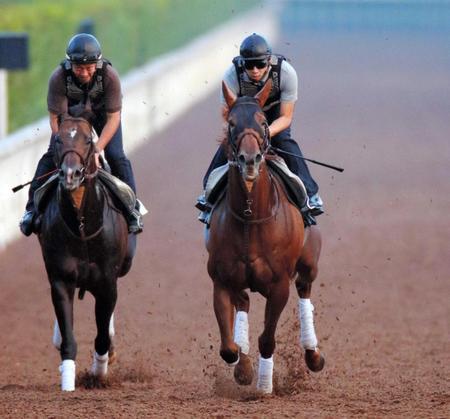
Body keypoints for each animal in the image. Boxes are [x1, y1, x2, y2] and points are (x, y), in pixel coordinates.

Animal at [37, 114, 135, 390]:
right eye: (58, 139)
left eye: (88, 140)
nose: (71, 174)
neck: (82, 226)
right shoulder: (61, 278)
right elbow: (68, 337)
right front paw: (68, 383)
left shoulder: (108, 282)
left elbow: (102, 335)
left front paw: (98, 373)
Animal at [206, 80, 326, 396]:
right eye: (232, 123)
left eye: (262, 122)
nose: (250, 160)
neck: (250, 219)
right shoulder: (221, 280)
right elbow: (228, 348)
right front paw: (244, 369)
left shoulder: (279, 285)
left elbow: (267, 339)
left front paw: (263, 387)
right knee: (244, 303)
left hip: (308, 264)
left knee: (304, 289)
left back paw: (313, 355)